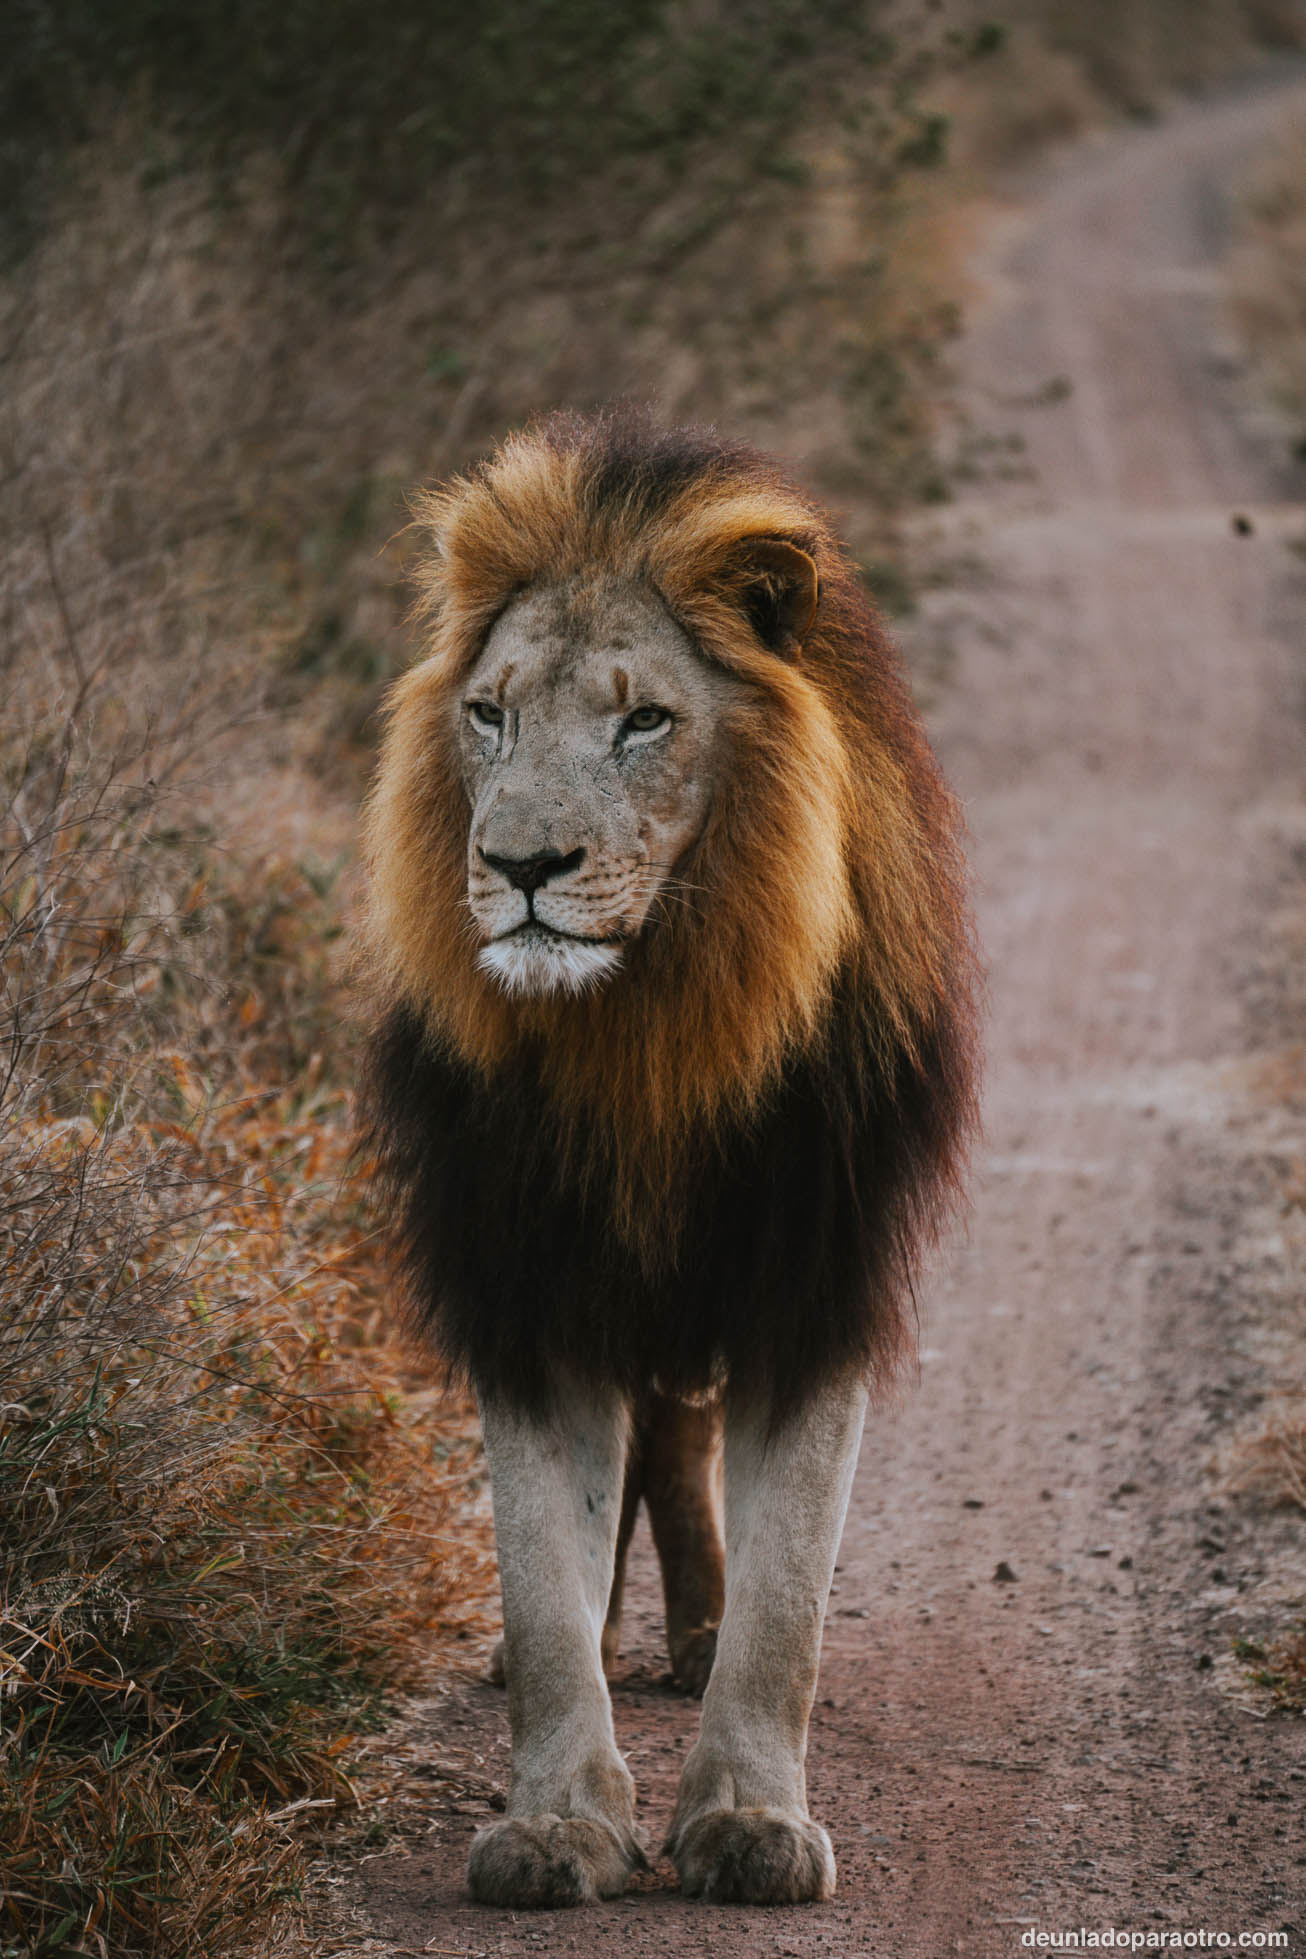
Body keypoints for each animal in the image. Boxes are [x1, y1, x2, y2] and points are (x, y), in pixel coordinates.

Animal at [358, 405, 979, 1904]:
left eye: (645, 719)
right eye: (490, 714)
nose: (521, 865)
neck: (644, 1030)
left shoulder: (812, 1277)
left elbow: (786, 1601)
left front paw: (750, 1818)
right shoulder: (526, 1281)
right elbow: (541, 1574)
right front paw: (557, 1824)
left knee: (685, 1437)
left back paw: (691, 1633)